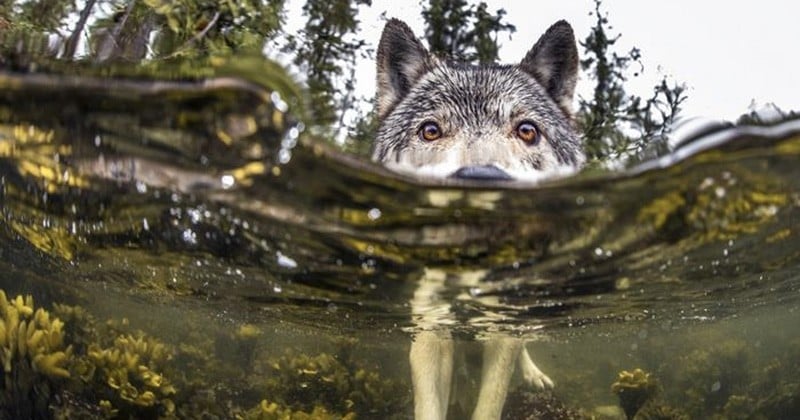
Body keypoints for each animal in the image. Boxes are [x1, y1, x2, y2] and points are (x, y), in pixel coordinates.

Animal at [372, 18, 584, 418]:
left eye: (527, 130)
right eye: (431, 131)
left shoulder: (500, 330)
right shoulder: (431, 330)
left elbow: (491, 400)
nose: (481, 180)